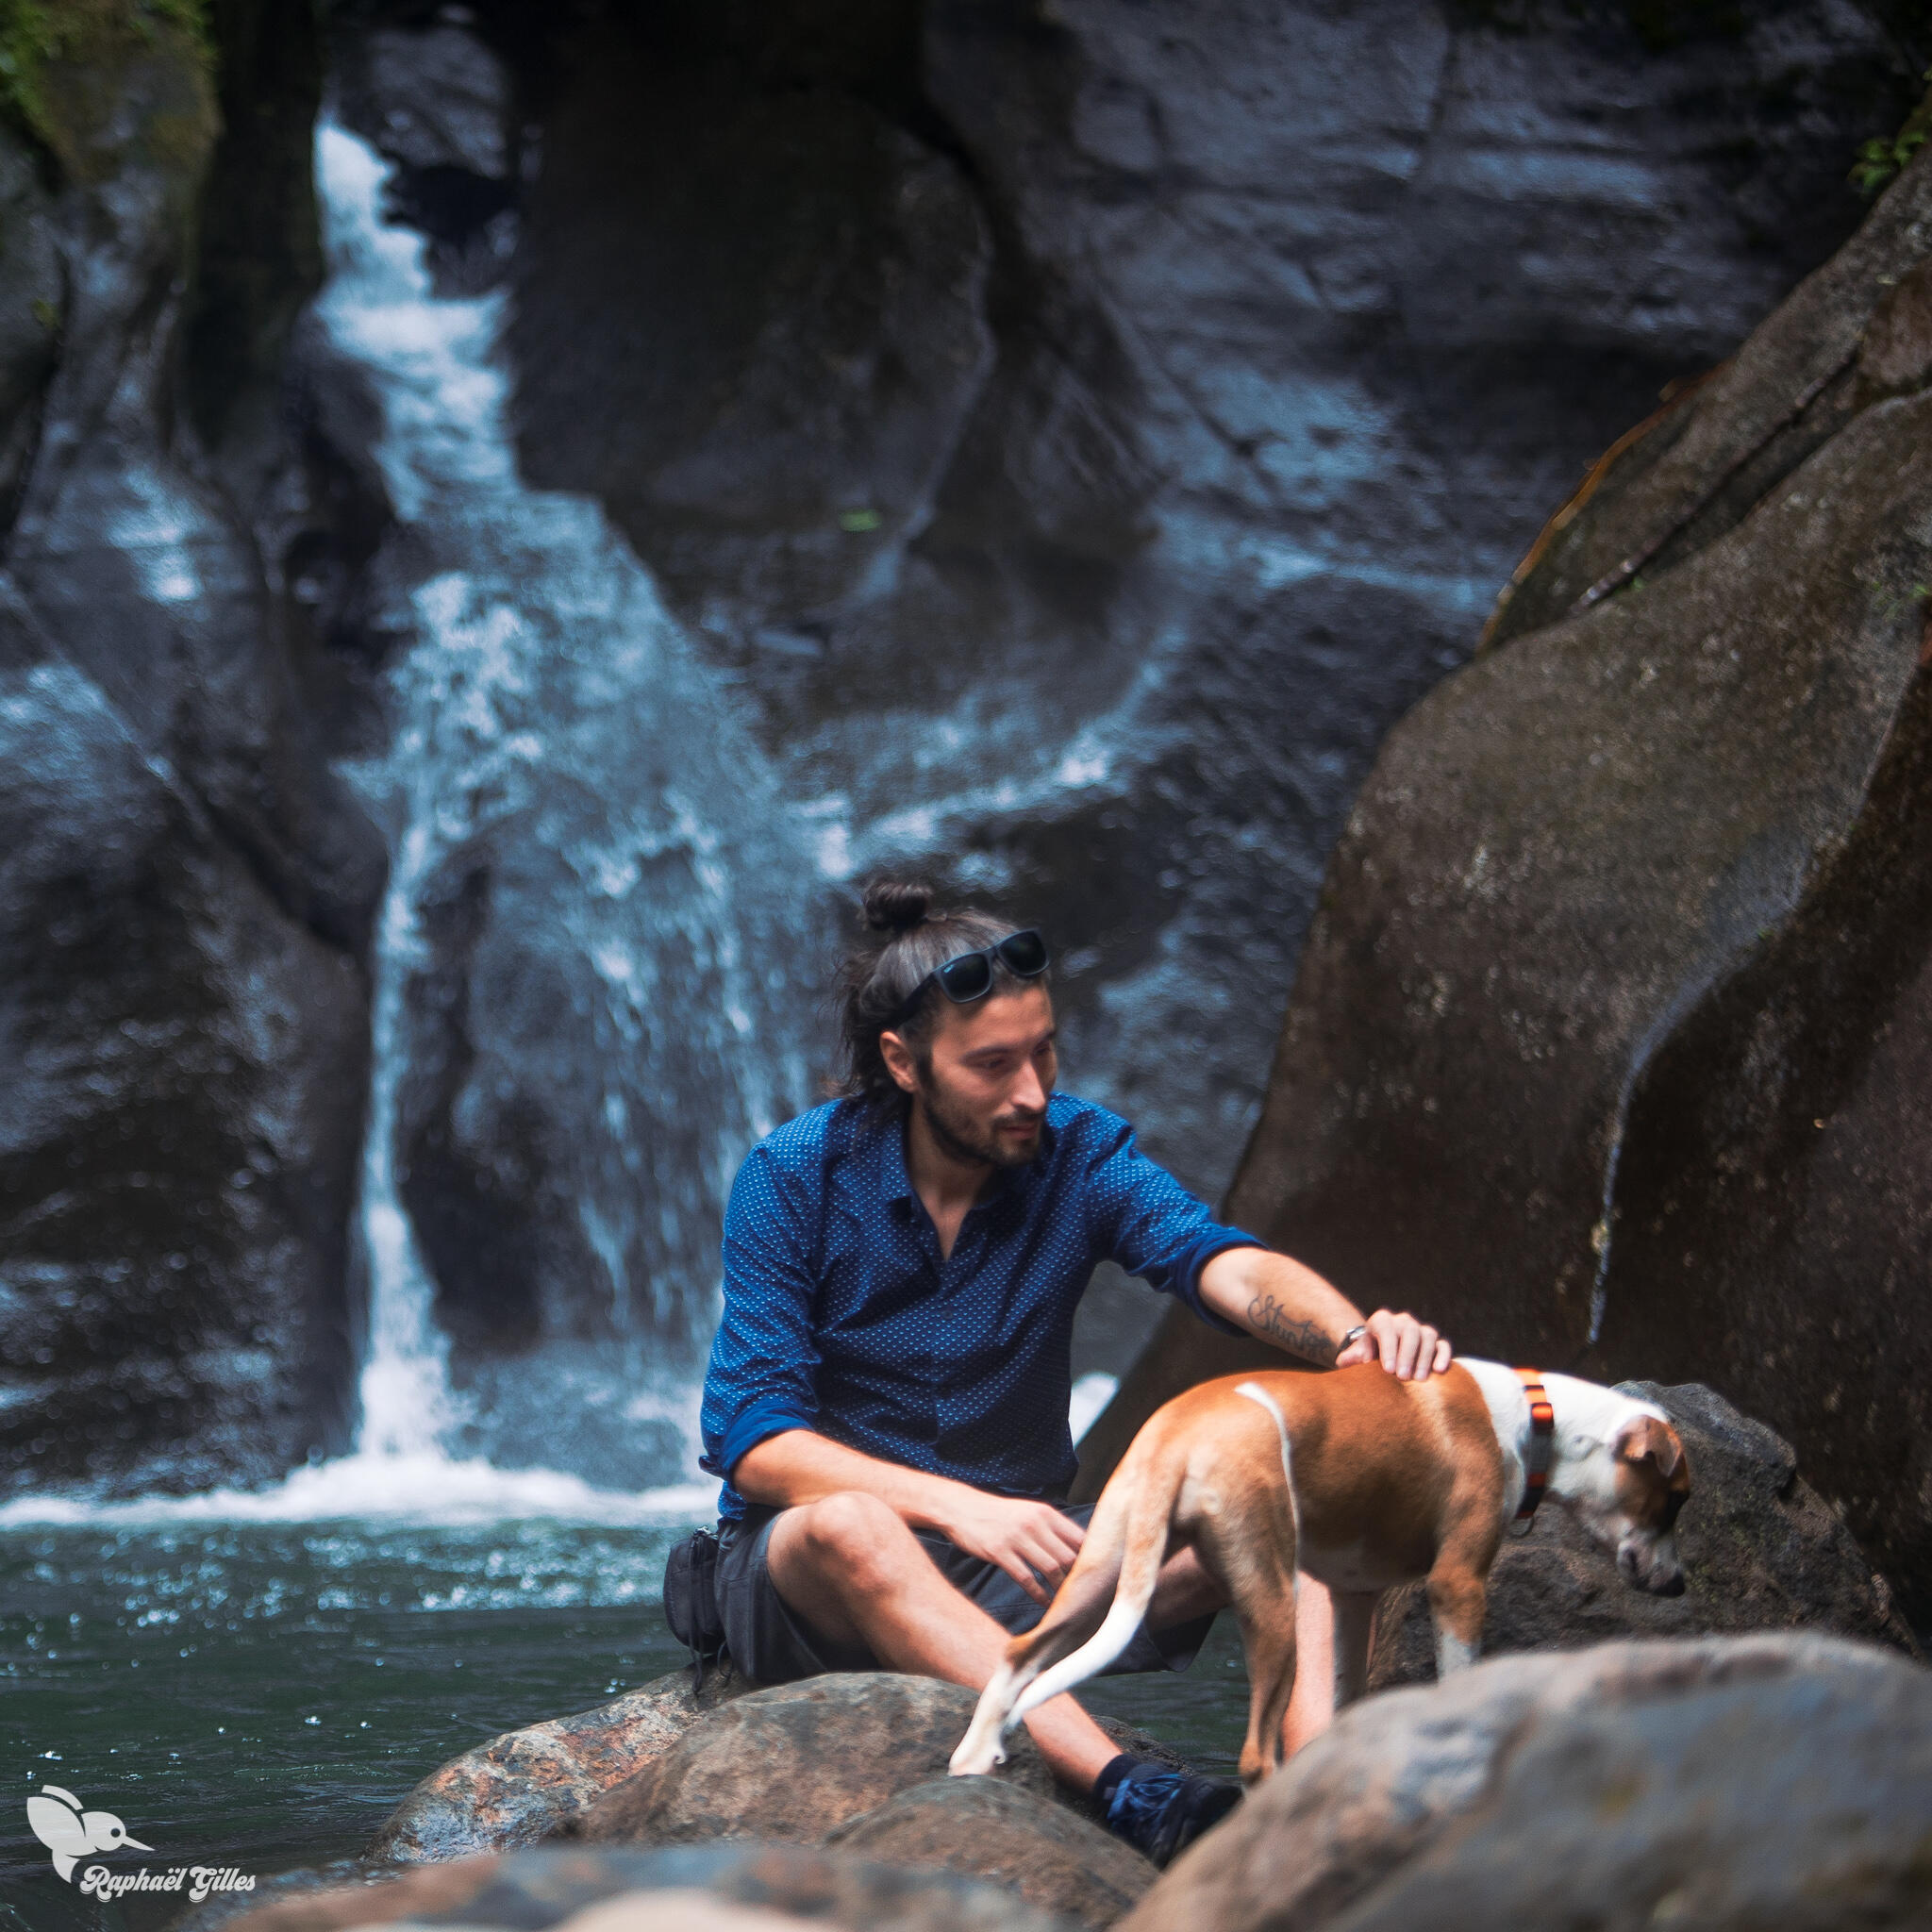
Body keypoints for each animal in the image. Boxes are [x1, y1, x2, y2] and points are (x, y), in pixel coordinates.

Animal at [950, 1359, 1692, 1777]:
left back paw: (973, 1759)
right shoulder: (1457, 1586)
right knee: (1255, 1755)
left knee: (1018, 1651)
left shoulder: (1352, 1598)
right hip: (1272, 1602)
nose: (1682, 1584)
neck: (1539, 1419)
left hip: (1101, 1565)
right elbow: (1460, 1677)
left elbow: (1342, 1699)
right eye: (1677, 1499)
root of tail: (1182, 1433)